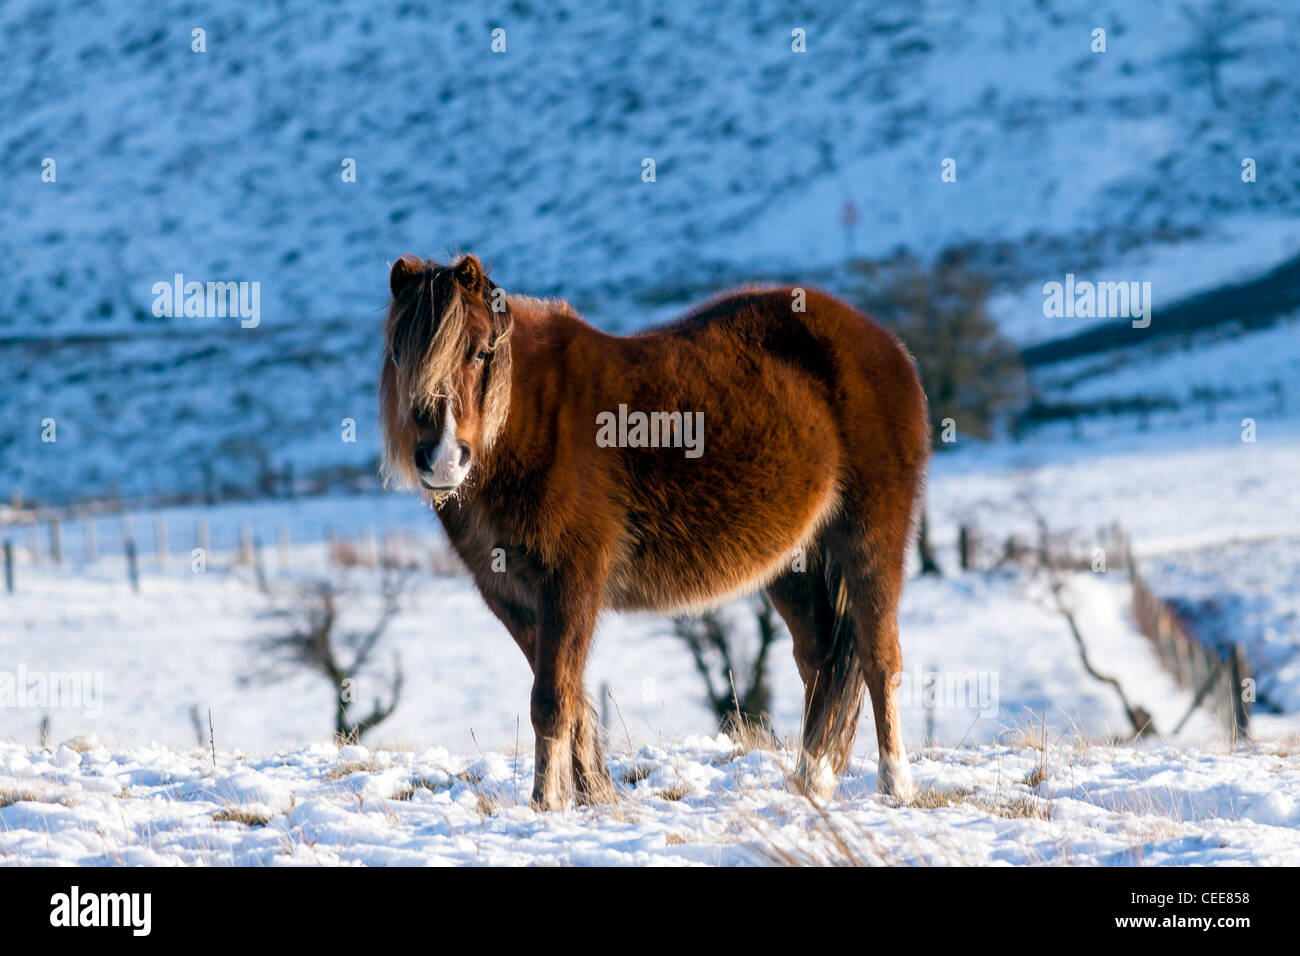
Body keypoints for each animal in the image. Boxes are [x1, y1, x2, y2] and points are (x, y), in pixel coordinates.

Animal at [379, 252, 930, 806]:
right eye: (399, 354)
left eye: (478, 352)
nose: (441, 460)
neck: (532, 421)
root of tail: (882, 342)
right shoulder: (511, 596)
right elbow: (573, 699)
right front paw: (592, 794)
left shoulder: (571, 584)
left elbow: (552, 700)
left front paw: (547, 805)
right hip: (797, 562)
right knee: (819, 664)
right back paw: (810, 780)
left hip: (870, 538)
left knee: (879, 656)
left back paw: (895, 783)